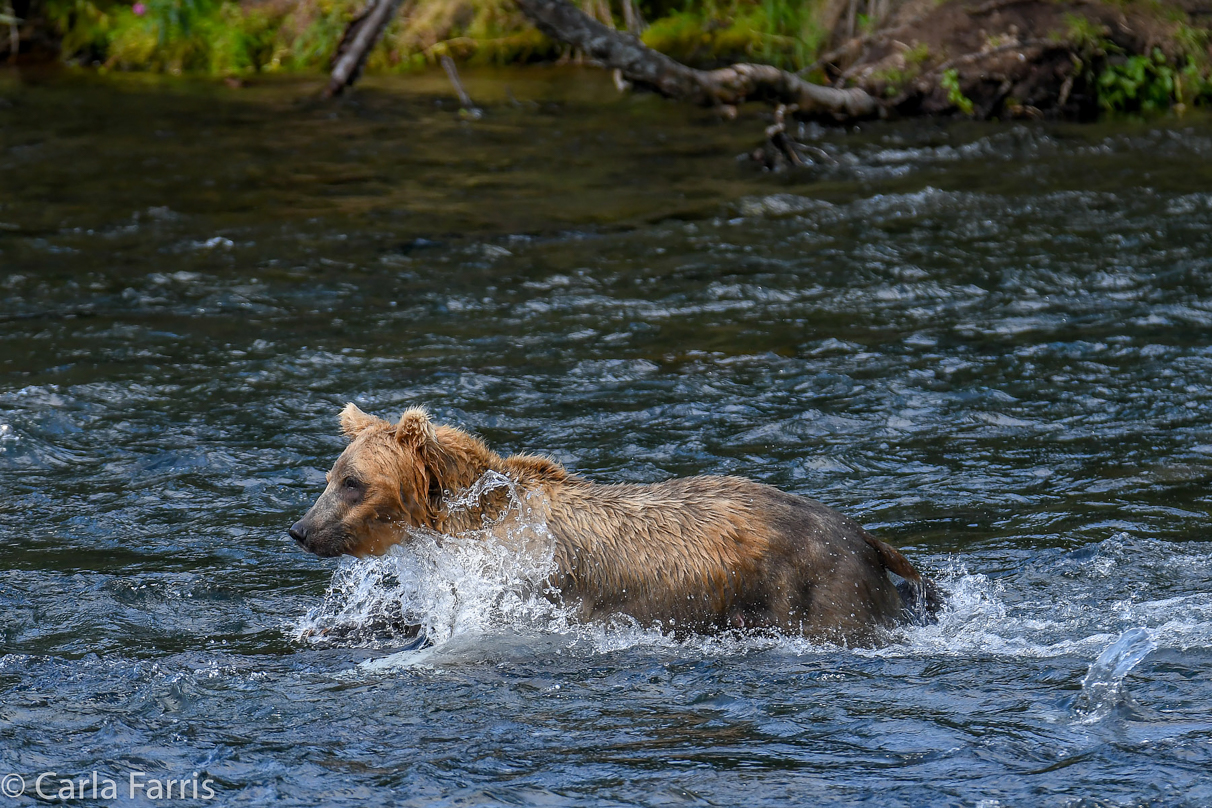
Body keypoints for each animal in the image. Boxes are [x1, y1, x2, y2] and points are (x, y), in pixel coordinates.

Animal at [288, 404, 940, 644]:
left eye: (352, 481)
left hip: (822, 588)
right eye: (332, 475)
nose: (300, 529)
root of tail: (865, 535)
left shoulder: (530, 583)